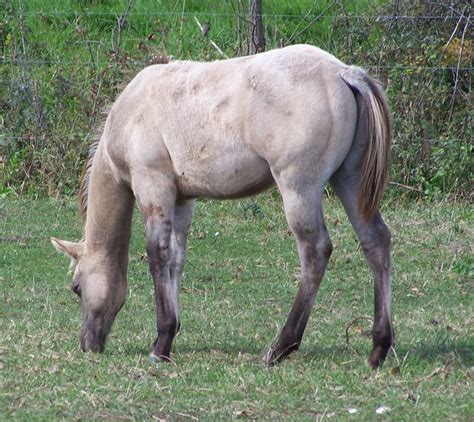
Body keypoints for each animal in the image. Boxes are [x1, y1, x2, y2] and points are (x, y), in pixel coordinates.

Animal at [51, 44, 392, 370]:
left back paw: (280, 348)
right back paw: (379, 348)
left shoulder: (153, 186)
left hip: (299, 189)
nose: (88, 344)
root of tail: (342, 73)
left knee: (315, 251)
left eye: (77, 287)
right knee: (376, 242)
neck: (131, 111)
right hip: (349, 181)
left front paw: (160, 345)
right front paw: (171, 333)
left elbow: (157, 254)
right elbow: (176, 259)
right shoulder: (182, 199)